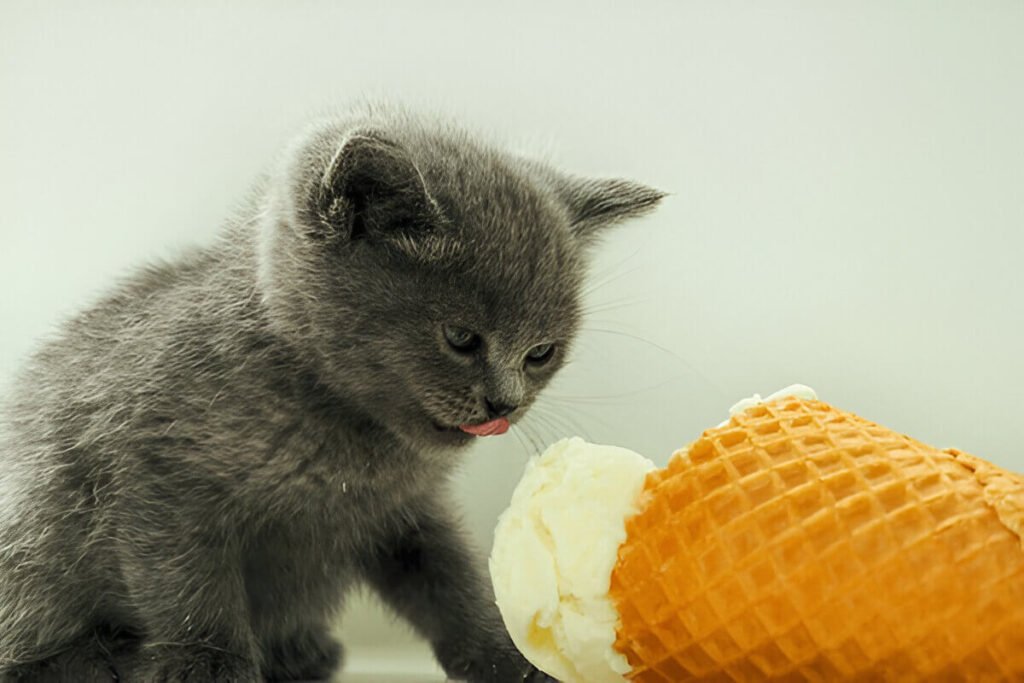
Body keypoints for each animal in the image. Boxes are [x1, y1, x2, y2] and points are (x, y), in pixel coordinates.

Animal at [0, 107, 663, 683]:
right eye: (460, 338)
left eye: (540, 353)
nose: (505, 403)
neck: (344, 437)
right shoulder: (153, 477)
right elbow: (188, 586)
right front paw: (208, 666)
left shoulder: (404, 509)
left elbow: (450, 579)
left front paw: (513, 660)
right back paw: (92, 661)